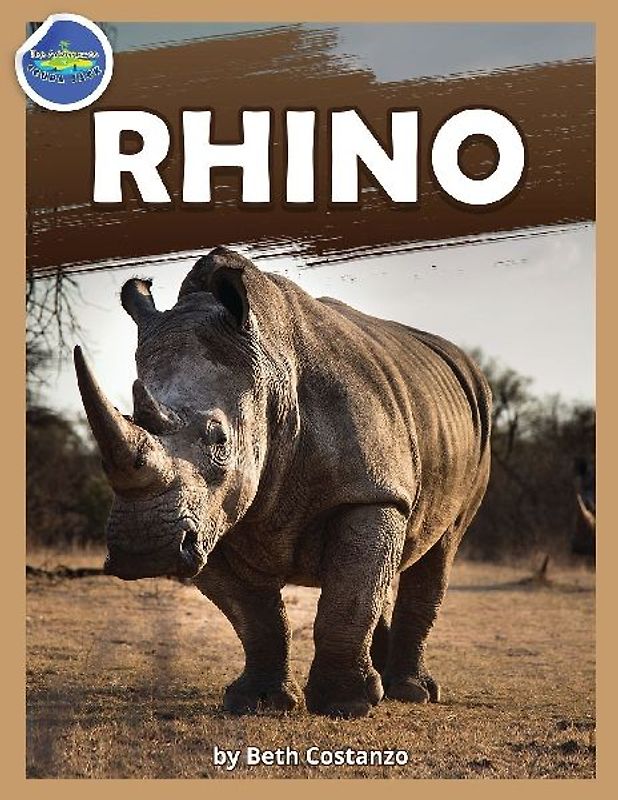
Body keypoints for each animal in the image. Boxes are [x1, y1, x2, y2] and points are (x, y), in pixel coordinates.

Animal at [74, 246, 492, 718]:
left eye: (220, 439)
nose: (143, 550)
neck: (272, 377)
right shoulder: (209, 518)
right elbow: (257, 617)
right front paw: (257, 701)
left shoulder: (369, 492)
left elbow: (347, 599)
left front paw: (344, 705)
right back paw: (387, 682)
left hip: (477, 425)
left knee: (442, 546)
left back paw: (410, 692)